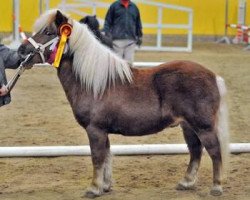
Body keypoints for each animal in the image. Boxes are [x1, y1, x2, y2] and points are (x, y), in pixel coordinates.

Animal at [17, 9, 229, 198]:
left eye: (48, 32)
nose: (21, 50)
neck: (93, 83)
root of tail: (213, 76)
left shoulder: (95, 130)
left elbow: (97, 158)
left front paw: (93, 188)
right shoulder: (103, 131)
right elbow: (107, 156)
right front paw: (105, 186)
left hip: (203, 126)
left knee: (215, 152)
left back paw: (216, 187)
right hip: (187, 126)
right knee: (195, 151)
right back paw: (186, 183)